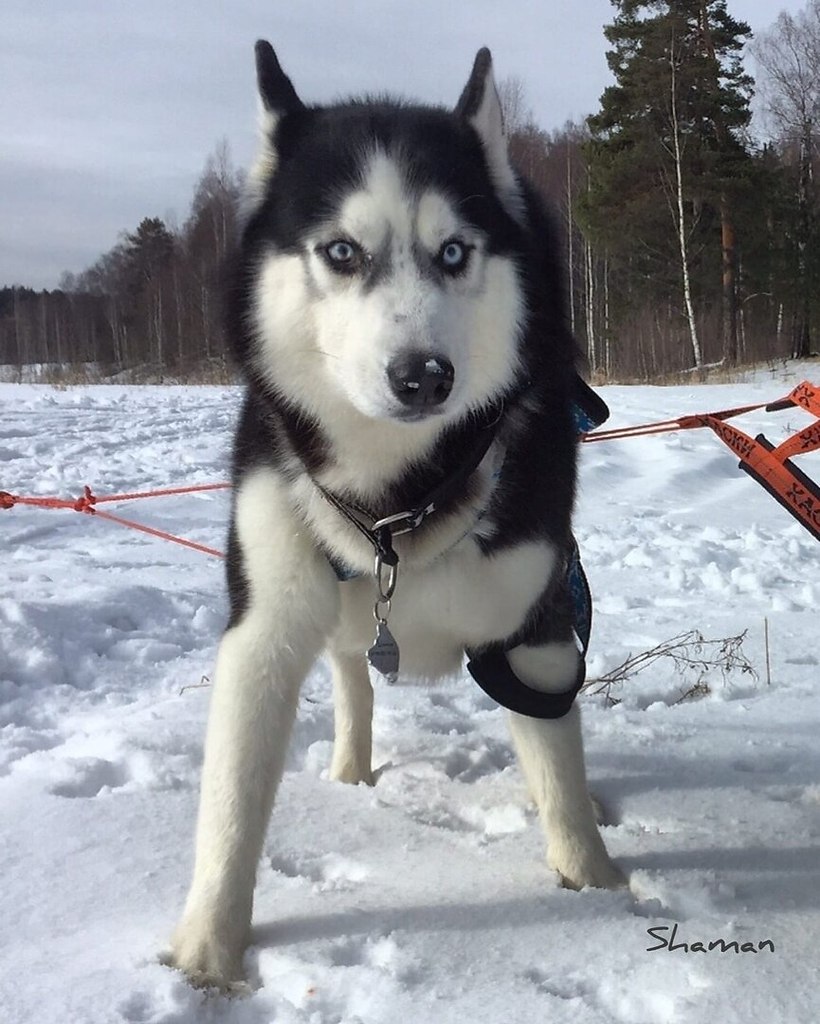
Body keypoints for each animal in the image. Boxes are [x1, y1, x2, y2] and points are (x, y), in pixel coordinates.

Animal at [169, 41, 622, 991]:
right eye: (341, 251)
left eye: (453, 251)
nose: (423, 376)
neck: (396, 503)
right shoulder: (262, 623)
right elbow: (233, 796)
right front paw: (209, 951)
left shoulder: (535, 628)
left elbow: (559, 772)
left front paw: (596, 885)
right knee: (349, 672)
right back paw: (349, 769)